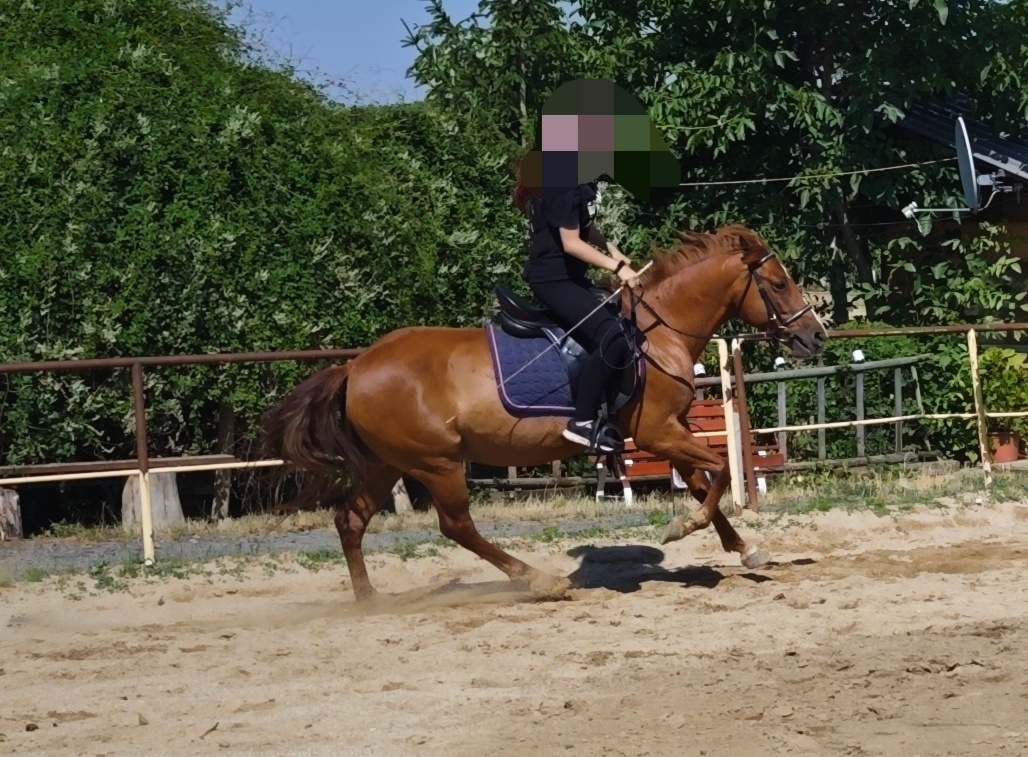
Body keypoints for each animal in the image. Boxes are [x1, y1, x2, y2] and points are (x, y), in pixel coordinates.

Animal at [261, 224, 828, 602]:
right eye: (779, 284)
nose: (815, 336)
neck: (658, 331)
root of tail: (355, 367)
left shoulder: (670, 431)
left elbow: (701, 480)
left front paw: (743, 548)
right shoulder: (656, 432)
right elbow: (720, 470)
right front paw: (683, 529)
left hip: (387, 463)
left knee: (350, 520)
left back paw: (368, 599)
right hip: (436, 463)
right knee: (456, 527)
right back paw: (539, 580)